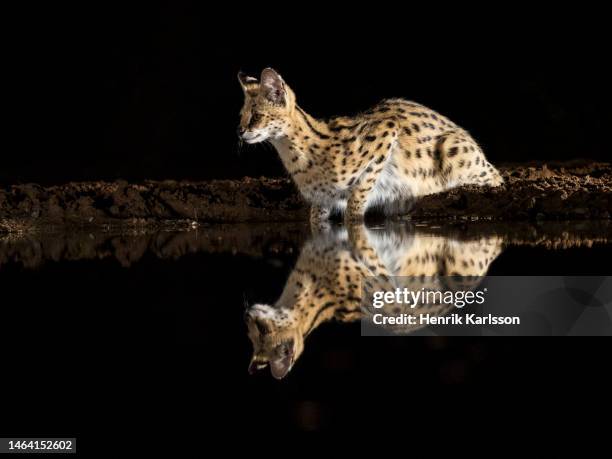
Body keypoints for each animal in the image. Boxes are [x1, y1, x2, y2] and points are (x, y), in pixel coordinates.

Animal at [237, 68, 500, 226]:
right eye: (241, 116)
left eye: (257, 116)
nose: (239, 131)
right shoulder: (321, 202)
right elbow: (316, 220)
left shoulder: (386, 131)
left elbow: (357, 202)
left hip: (452, 150)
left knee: (496, 178)